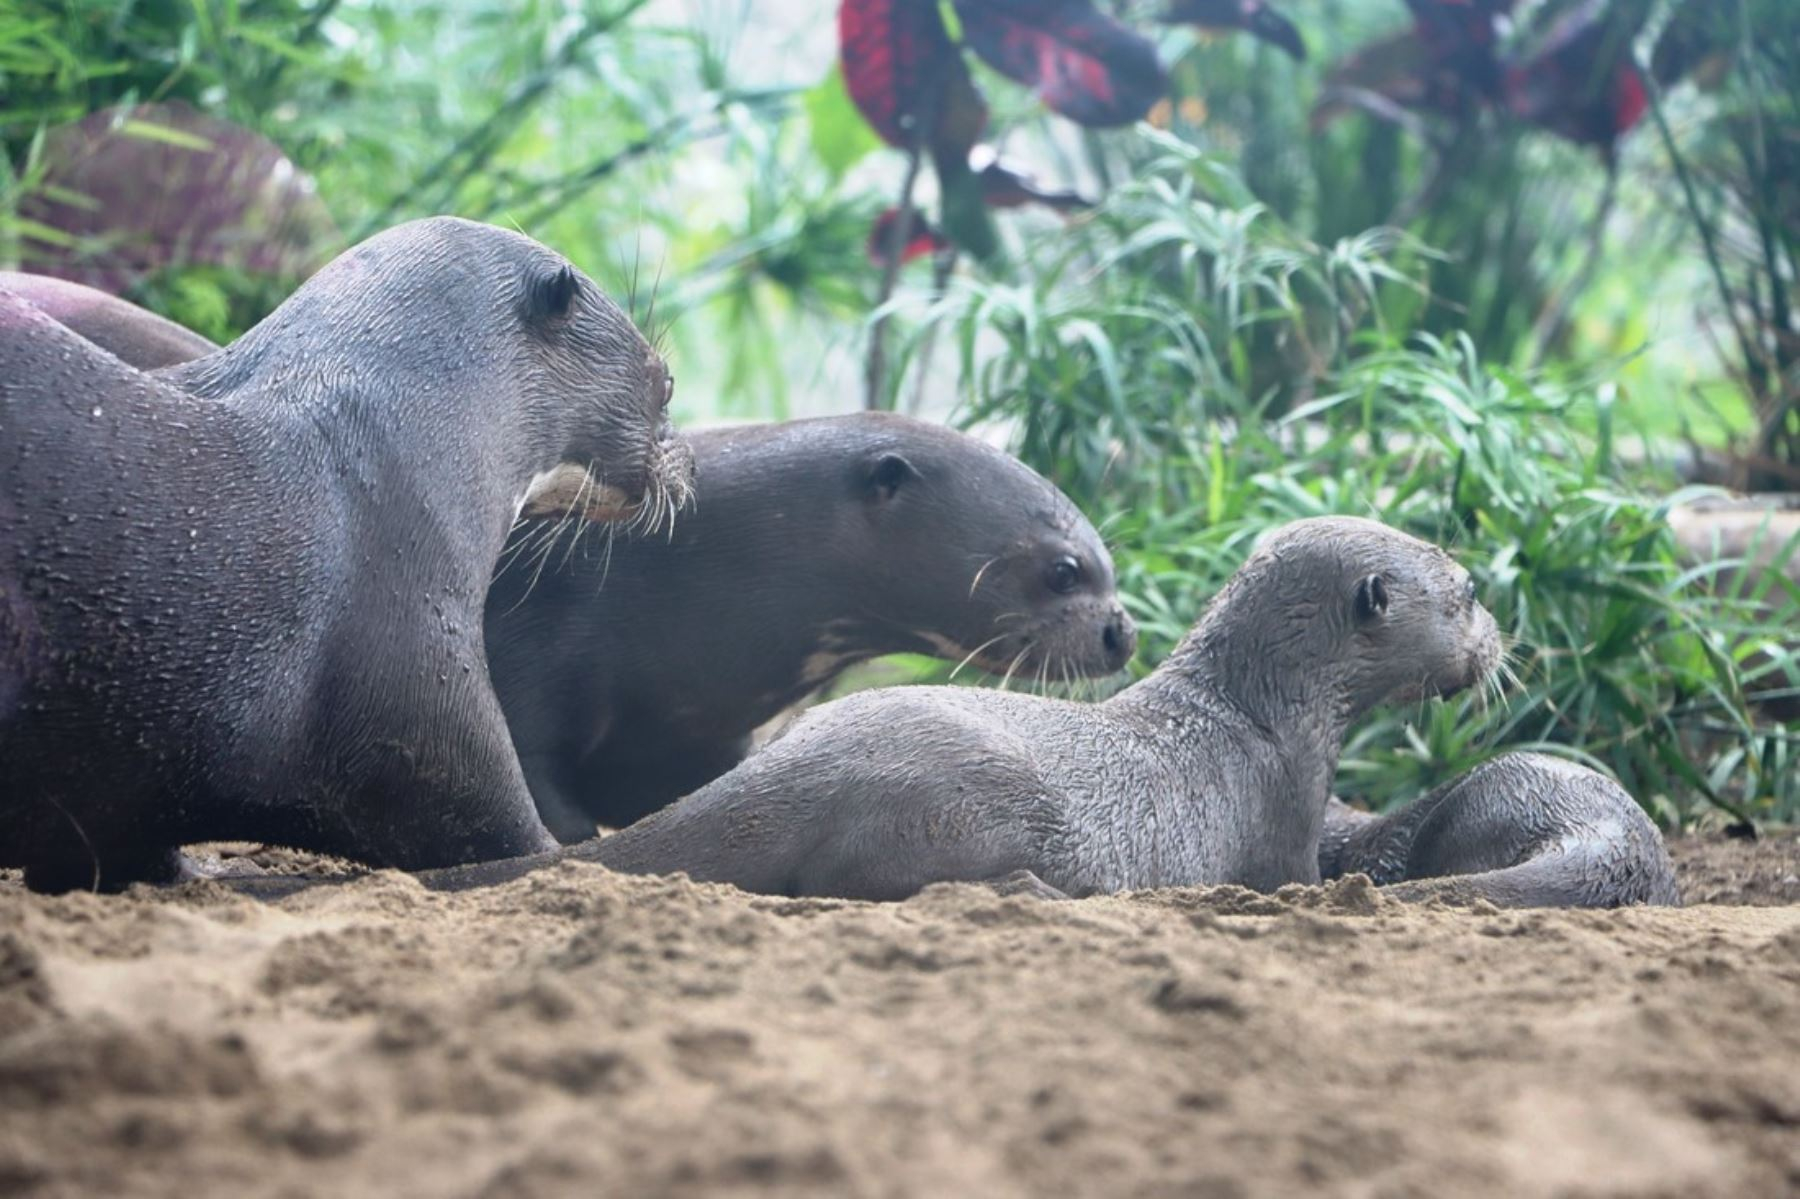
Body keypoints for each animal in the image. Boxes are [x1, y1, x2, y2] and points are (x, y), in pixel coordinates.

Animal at [489, 415, 1137, 835]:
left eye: (1108, 564)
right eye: (1065, 571)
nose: (1123, 634)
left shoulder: (693, 738)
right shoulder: (532, 648)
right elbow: (536, 776)